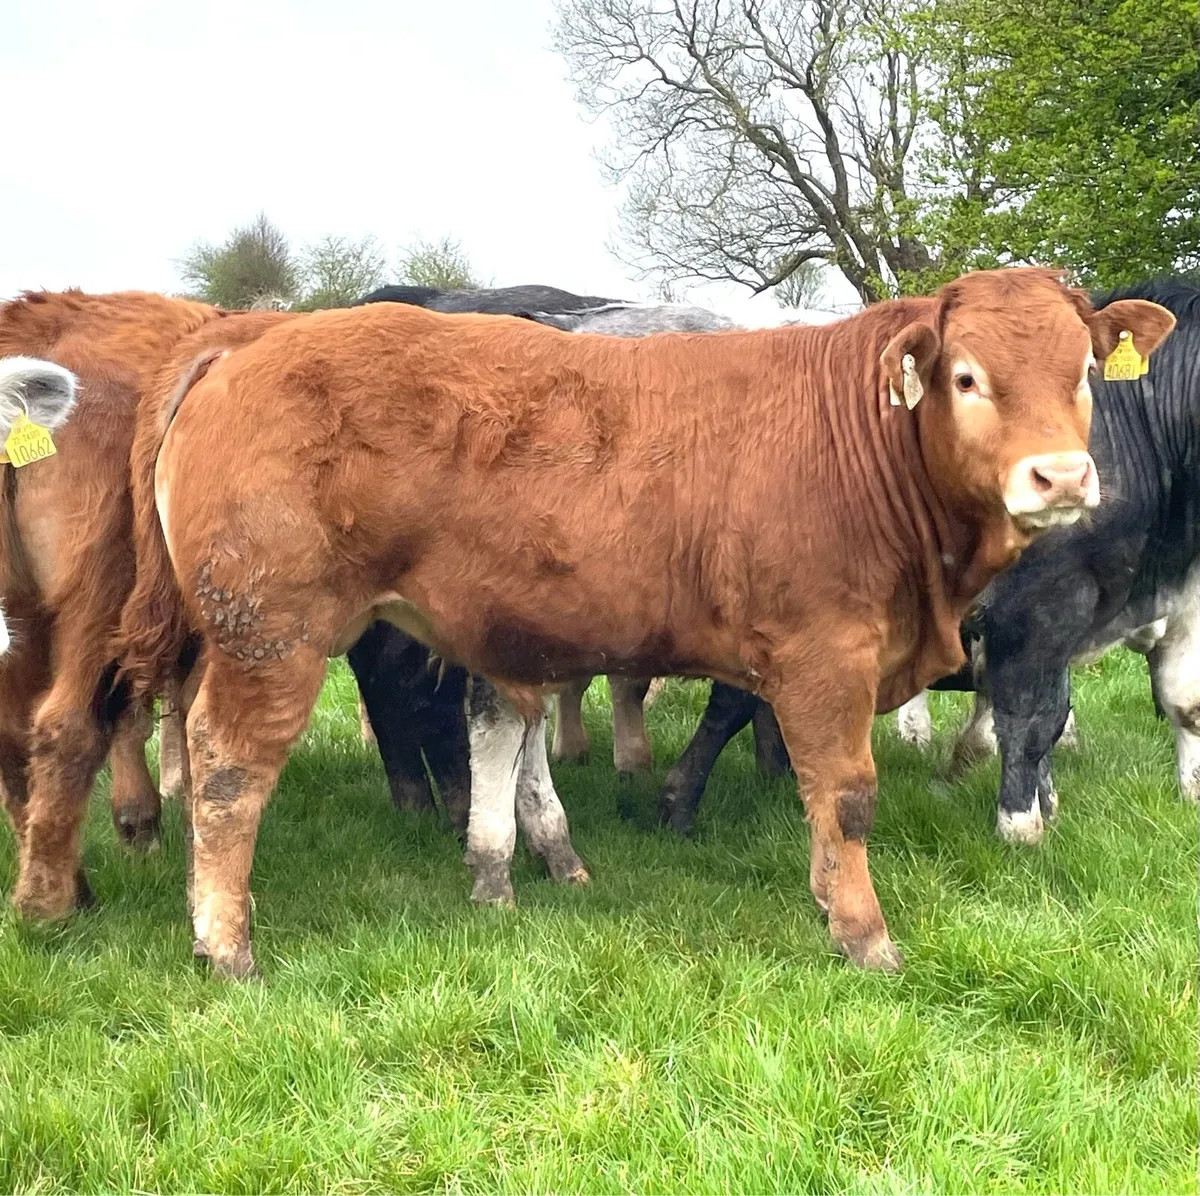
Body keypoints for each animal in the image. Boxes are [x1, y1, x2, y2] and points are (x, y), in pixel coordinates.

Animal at [107, 266, 1173, 980]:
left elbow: (817, 800)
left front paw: (827, 894)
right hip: (272, 636)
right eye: (965, 378)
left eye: (1085, 372)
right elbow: (845, 794)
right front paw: (863, 933)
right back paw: (226, 943)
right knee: (229, 766)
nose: (1061, 477)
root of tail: (251, 338)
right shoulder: (825, 657)